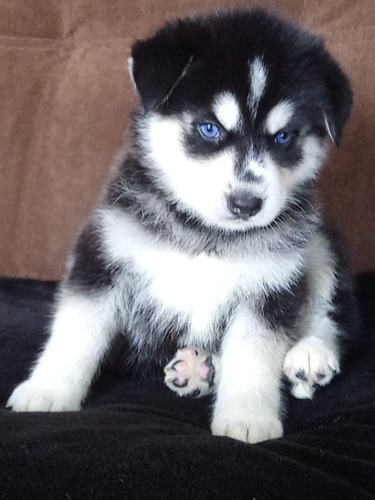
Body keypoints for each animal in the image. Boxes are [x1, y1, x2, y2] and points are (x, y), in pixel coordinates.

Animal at [6, 9, 358, 444]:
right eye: (209, 128)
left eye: (283, 137)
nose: (247, 204)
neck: (204, 232)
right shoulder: (104, 255)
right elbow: (77, 331)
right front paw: (48, 390)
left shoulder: (271, 284)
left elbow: (254, 354)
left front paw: (247, 415)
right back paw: (199, 369)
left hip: (319, 244)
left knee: (332, 312)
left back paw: (311, 355)